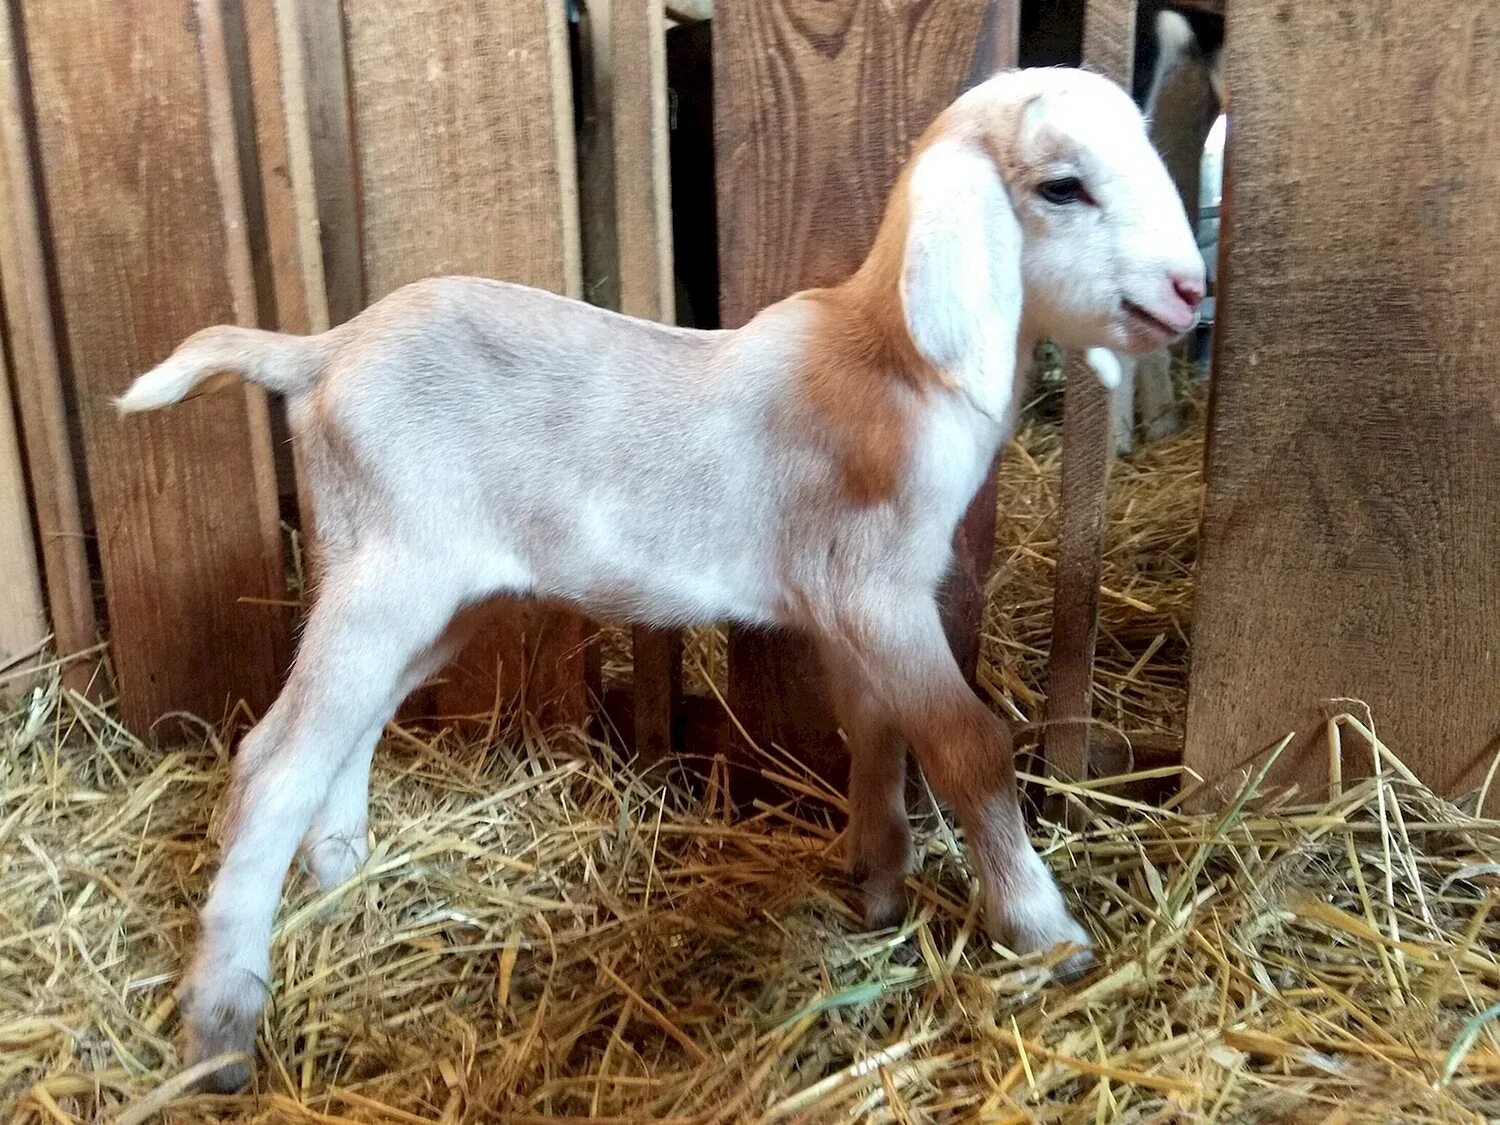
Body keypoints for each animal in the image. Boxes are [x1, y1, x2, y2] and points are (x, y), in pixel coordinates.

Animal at [126, 66, 1206, 1086]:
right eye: (1062, 187)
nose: (1191, 291)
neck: (892, 363)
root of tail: (321, 352)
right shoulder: (876, 589)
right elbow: (969, 745)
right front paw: (1043, 930)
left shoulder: (843, 610)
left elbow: (874, 732)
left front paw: (877, 877)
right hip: (386, 575)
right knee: (271, 764)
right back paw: (221, 1028)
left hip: (421, 597)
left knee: (348, 732)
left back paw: (341, 877)